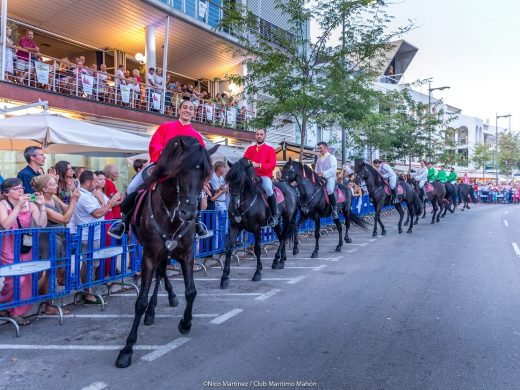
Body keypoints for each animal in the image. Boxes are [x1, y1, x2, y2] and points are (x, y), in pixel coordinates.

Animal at [116, 137, 217, 368]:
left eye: (205, 175)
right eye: (181, 171)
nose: (189, 213)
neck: (171, 212)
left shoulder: (187, 255)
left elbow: (191, 292)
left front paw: (185, 323)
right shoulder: (149, 255)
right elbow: (140, 301)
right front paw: (127, 349)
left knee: (161, 273)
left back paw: (165, 302)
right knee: (160, 273)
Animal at [220, 157, 300, 288]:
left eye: (242, 181)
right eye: (229, 180)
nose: (234, 203)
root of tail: (291, 188)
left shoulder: (256, 228)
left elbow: (257, 249)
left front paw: (257, 273)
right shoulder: (235, 226)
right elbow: (229, 248)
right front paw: (224, 277)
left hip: (287, 219)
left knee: (283, 237)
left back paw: (277, 260)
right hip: (276, 223)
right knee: (280, 236)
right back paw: (281, 259)